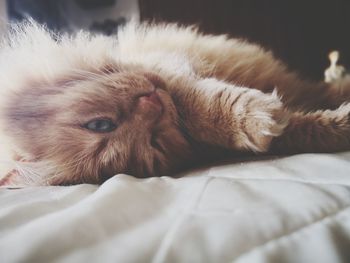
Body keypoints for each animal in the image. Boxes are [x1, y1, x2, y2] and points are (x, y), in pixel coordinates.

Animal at [0, 21, 348, 187]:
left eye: (100, 124)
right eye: (155, 143)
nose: (152, 103)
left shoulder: (170, 75)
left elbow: (205, 106)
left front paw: (255, 116)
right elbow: (300, 131)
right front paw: (338, 126)